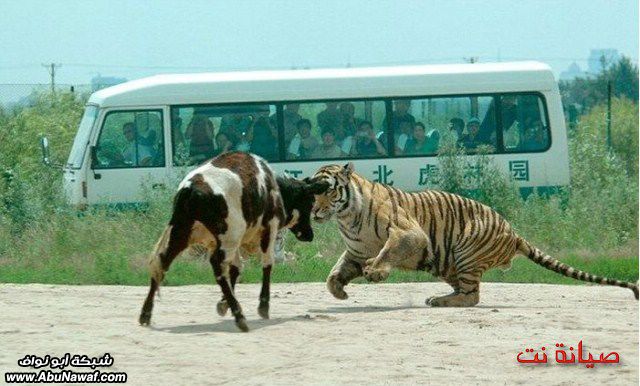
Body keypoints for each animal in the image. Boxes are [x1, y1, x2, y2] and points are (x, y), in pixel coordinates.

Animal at [140, 152, 330, 332]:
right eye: (310, 202)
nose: (309, 235)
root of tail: (191, 189)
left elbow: (236, 269)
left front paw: (223, 303)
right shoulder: (268, 228)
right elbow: (267, 265)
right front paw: (263, 305)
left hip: (181, 234)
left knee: (162, 262)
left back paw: (146, 314)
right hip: (227, 237)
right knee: (217, 267)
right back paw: (239, 316)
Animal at [308, 161, 636, 306]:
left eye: (327, 190)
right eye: (312, 190)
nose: (312, 211)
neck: (346, 218)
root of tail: (513, 232)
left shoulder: (408, 233)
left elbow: (389, 250)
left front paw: (375, 272)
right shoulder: (356, 250)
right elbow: (334, 273)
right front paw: (339, 291)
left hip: (465, 250)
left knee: (472, 296)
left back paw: (438, 300)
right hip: (448, 262)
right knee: (466, 291)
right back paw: (440, 296)